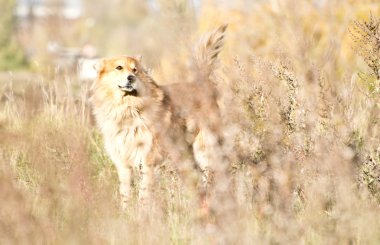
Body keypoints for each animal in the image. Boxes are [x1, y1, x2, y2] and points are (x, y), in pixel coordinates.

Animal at [90, 25, 227, 209]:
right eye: (119, 68)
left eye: (135, 70)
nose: (131, 78)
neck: (127, 109)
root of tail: (202, 85)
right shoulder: (123, 164)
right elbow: (125, 194)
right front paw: (125, 213)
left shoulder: (147, 160)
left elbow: (143, 195)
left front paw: (142, 214)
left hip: (205, 149)